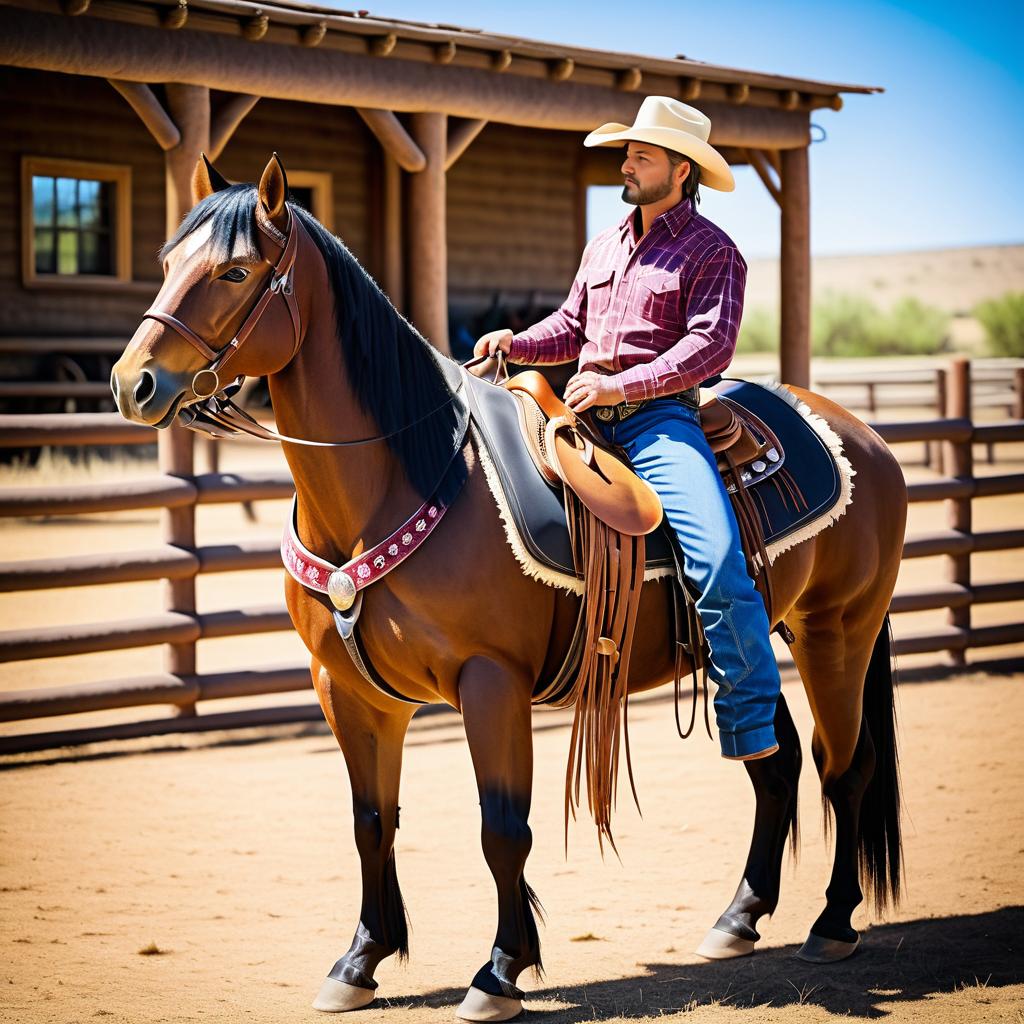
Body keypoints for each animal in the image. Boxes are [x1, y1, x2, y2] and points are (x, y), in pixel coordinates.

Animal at [112, 155, 909, 1019]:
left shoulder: (490, 682)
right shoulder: (346, 688)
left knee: (844, 765)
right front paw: (360, 961)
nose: (133, 383)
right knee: (777, 759)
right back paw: (739, 918)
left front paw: (499, 969)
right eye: (166, 261)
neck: (402, 481)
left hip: (836, 632)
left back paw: (831, 923)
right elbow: (371, 822)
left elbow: (503, 829)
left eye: (233, 271)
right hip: (758, 638)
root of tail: (860, 434)